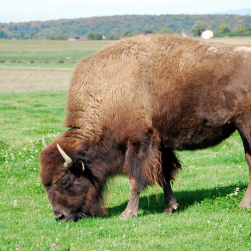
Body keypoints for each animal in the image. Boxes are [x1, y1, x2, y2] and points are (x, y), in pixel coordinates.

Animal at [40, 34, 250, 221]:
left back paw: (242, 206)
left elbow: (135, 180)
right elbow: (163, 175)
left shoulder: (138, 143)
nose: (59, 216)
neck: (107, 94)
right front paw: (170, 207)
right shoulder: (160, 146)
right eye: (45, 184)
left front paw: (127, 214)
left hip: (246, 127)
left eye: (64, 181)